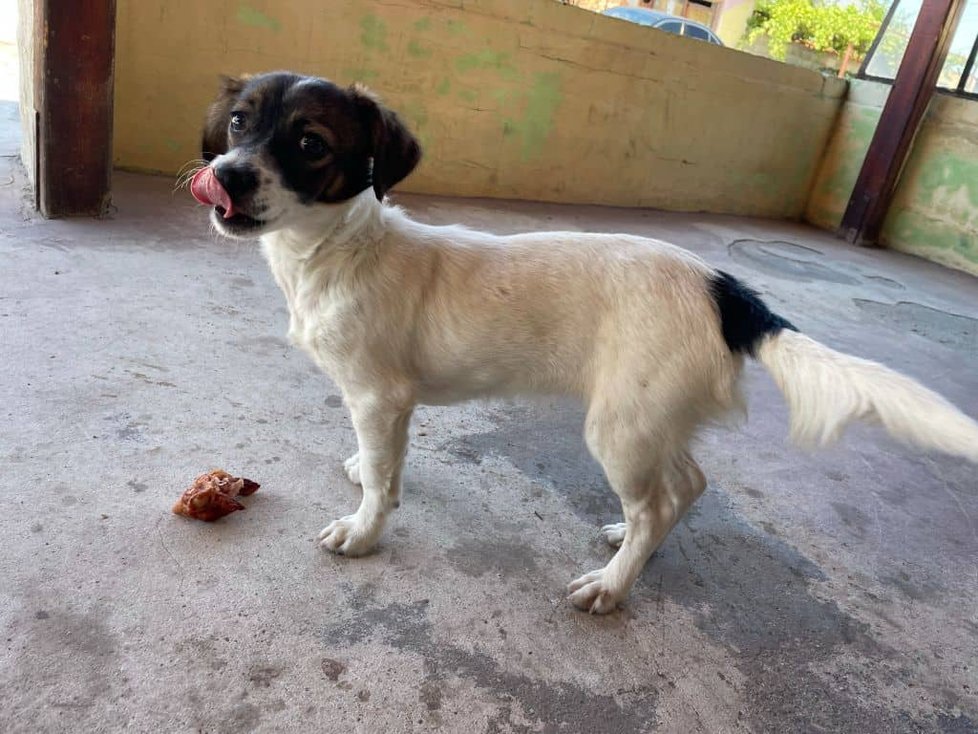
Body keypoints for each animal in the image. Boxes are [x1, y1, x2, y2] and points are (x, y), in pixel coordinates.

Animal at [189, 73, 976, 616]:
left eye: (310, 144)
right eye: (238, 123)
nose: (224, 177)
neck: (337, 252)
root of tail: (726, 290)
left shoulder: (382, 398)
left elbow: (385, 481)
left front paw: (363, 532)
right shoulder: (382, 406)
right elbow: (380, 467)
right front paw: (362, 477)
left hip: (619, 427)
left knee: (658, 503)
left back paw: (612, 586)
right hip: (651, 416)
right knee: (686, 485)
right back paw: (626, 544)